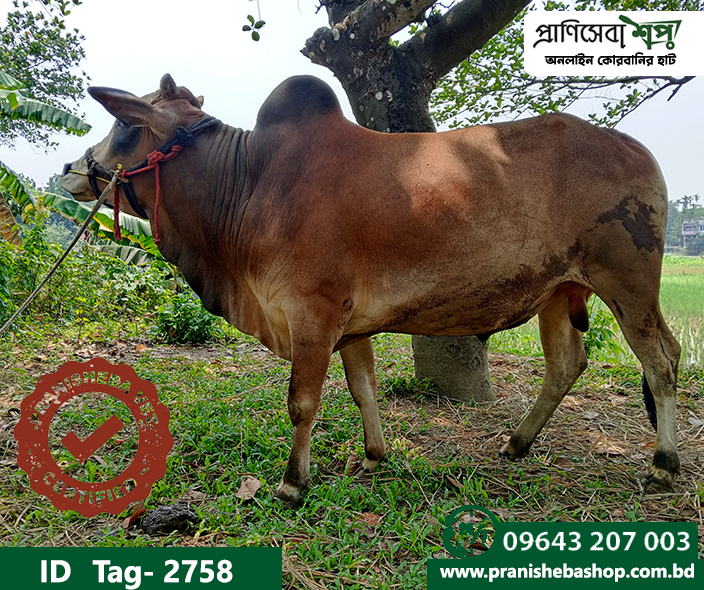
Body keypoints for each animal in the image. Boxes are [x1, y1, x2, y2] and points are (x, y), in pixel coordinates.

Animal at [61, 74, 681, 505]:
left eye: (124, 127)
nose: (70, 168)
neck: (249, 182)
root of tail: (638, 151)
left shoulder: (311, 313)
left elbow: (303, 402)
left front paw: (292, 484)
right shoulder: (347, 324)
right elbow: (363, 389)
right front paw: (376, 457)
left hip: (627, 287)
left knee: (662, 362)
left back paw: (664, 464)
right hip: (559, 291)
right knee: (567, 363)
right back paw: (517, 443)